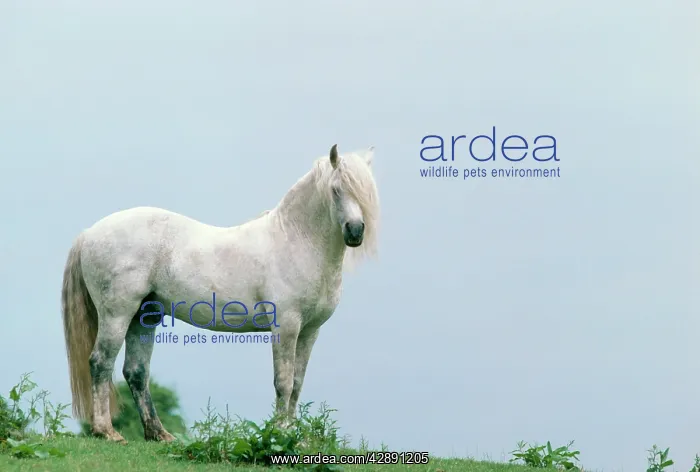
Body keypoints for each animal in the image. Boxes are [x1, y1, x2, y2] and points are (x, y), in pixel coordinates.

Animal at [61, 144, 380, 443]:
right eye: (336, 190)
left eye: (367, 192)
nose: (355, 232)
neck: (296, 241)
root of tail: (89, 234)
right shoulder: (286, 326)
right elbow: (284, 383)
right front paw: (280, 434)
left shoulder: (310, 331)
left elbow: (297, 384)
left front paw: (294, 437)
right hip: (117, 314)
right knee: (101, 362)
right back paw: (107, 431)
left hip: (144, 317)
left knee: (136, 372)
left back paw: (158, 434)